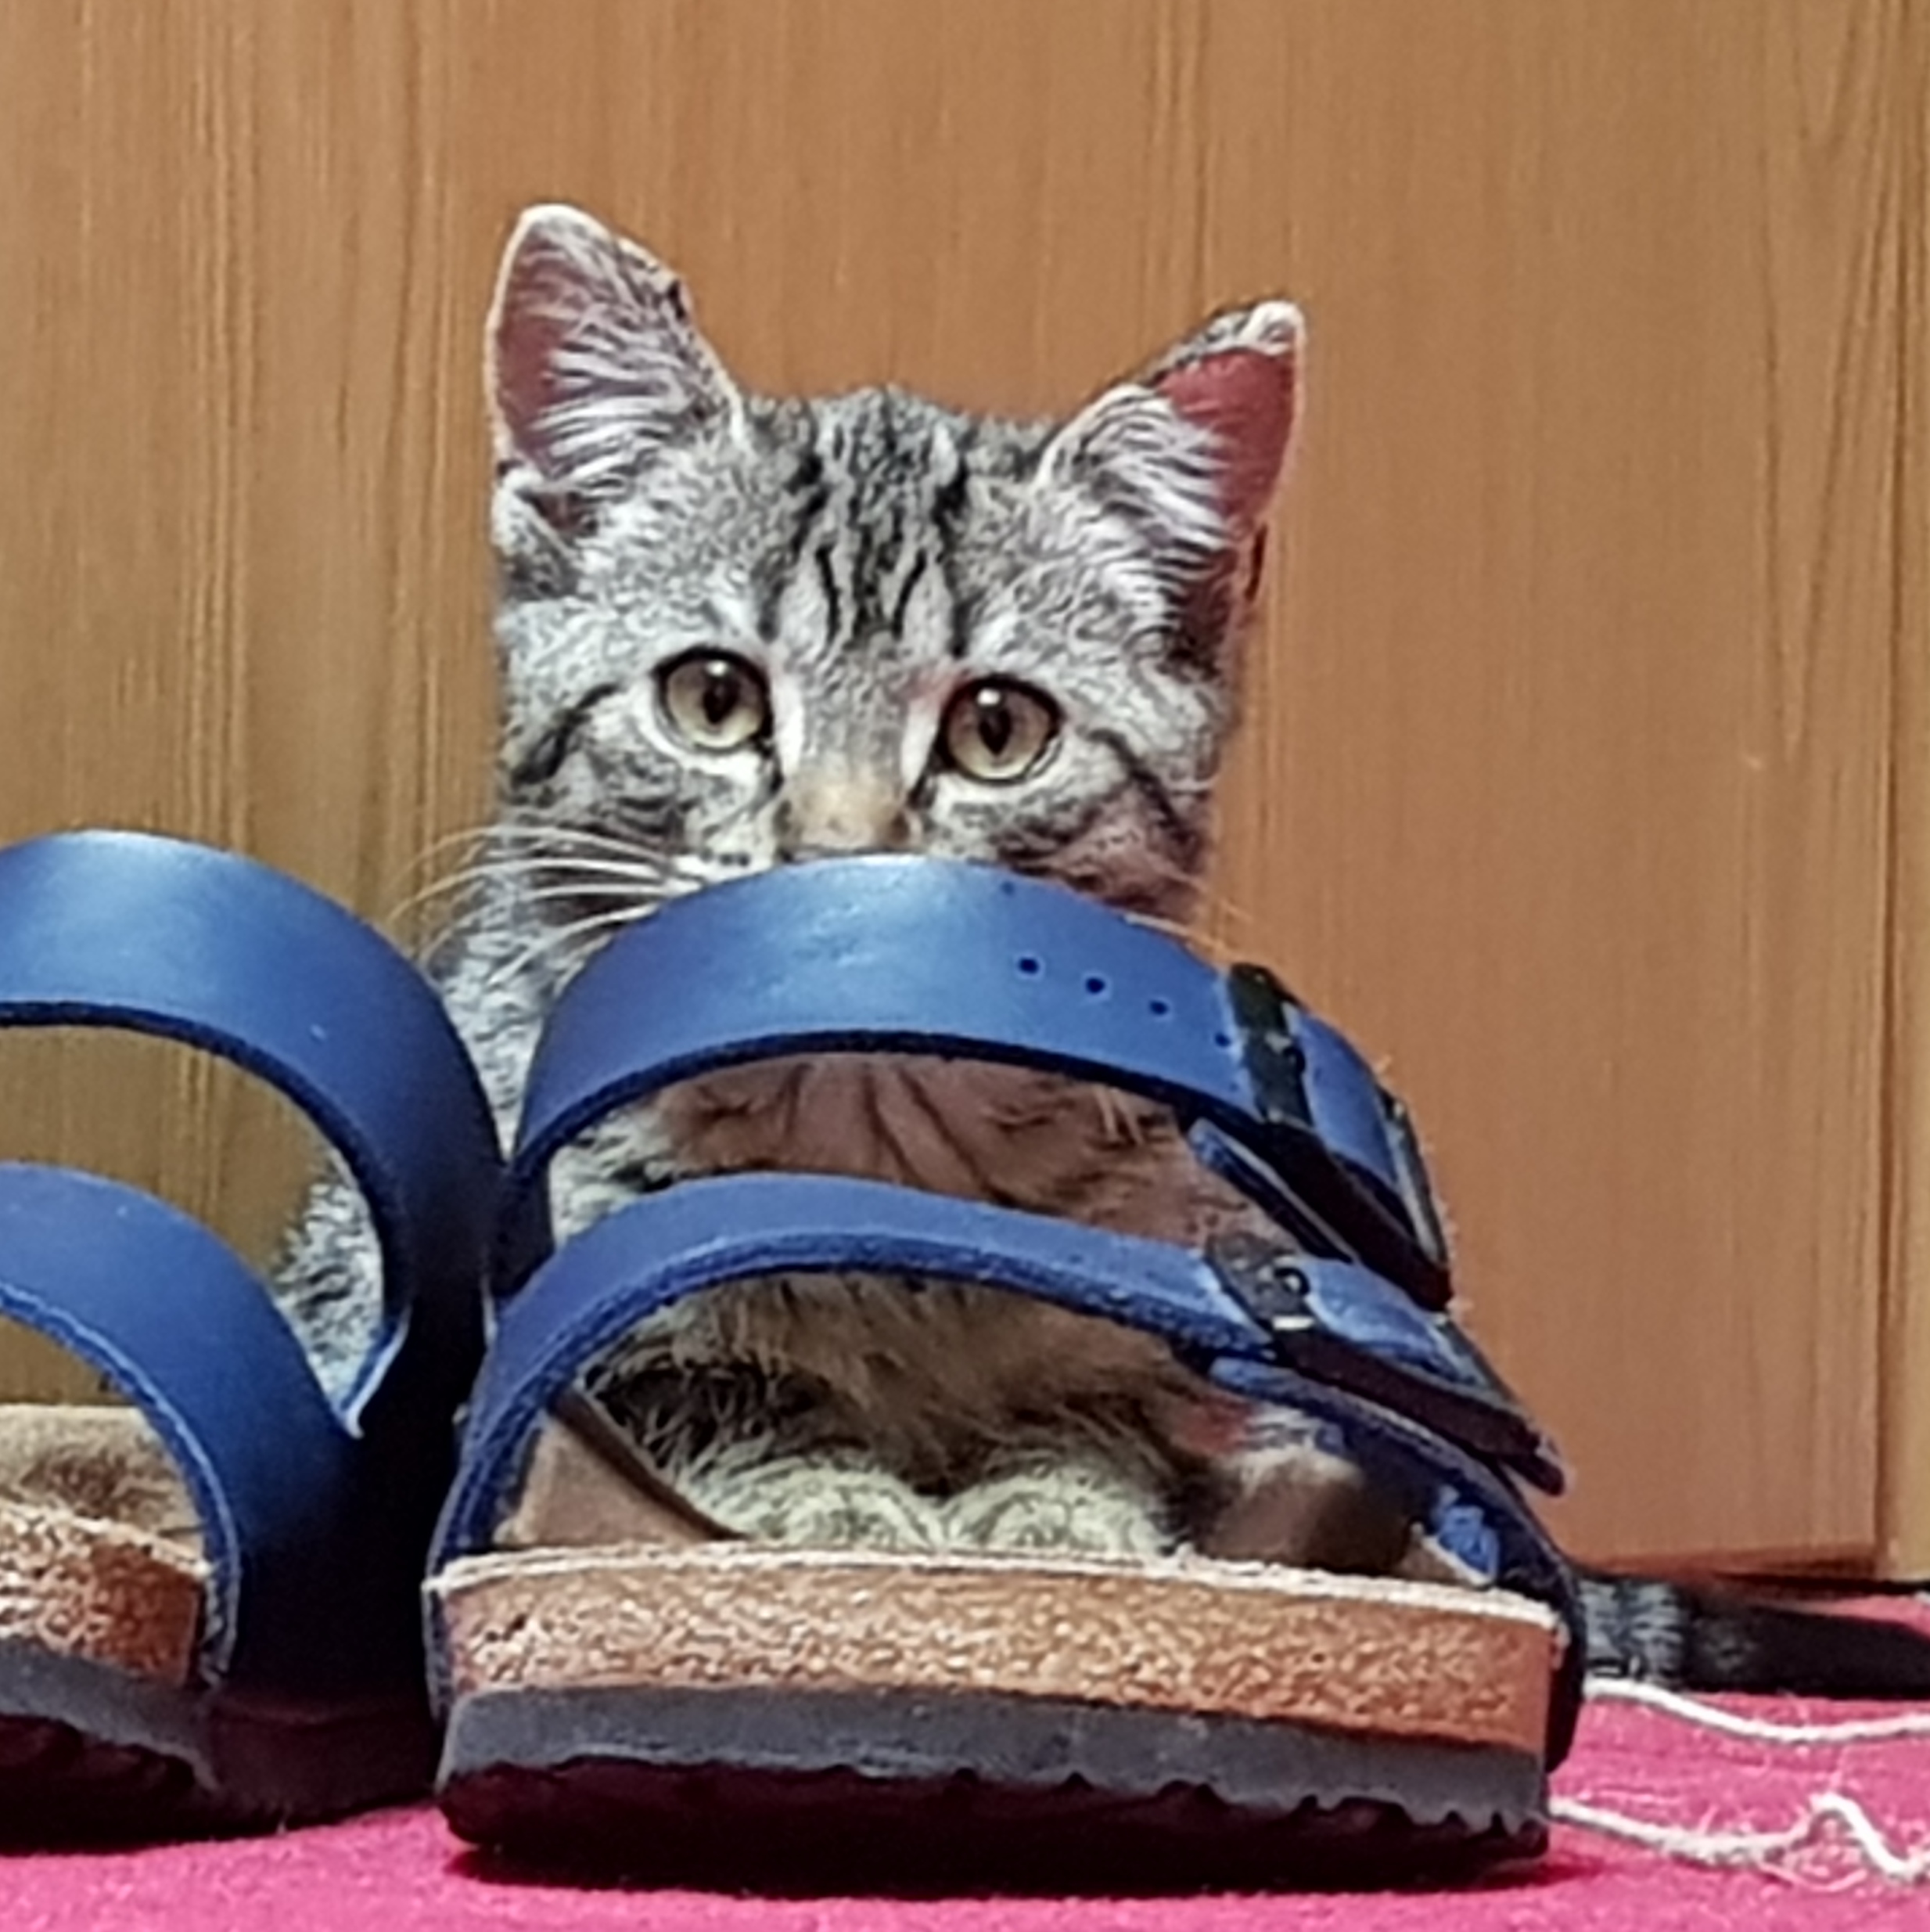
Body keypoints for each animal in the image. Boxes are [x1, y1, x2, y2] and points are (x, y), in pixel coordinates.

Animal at [278, 203, 1930, 1696]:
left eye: (997, 727)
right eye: (712, 697)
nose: (840, 854)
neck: (873, 1158)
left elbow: (1106, 1425)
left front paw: (1054, 1516)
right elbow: (699, 1383)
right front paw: (832, 1488)